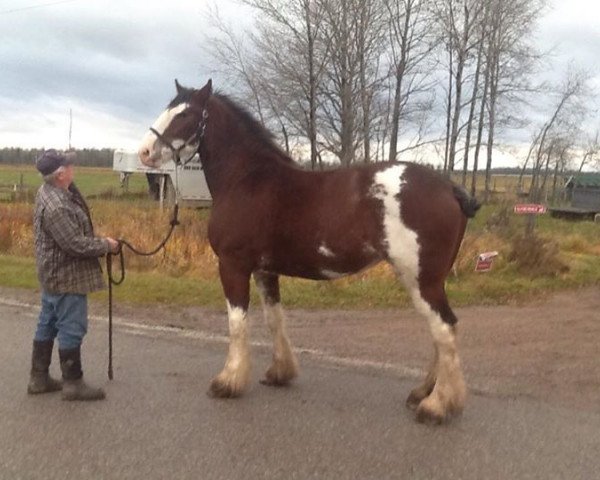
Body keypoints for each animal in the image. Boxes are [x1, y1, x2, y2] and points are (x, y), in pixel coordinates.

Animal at [138, 79, 480, 424]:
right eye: (169, 108)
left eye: (185, 114)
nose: (145, 152)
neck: (247, 180)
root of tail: (450, 188)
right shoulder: (264, 270)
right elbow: (274, 319)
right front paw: (279, 372)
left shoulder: (233, 266)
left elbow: (237, 323)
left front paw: (228, 381)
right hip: (426, 280)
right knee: (440, 331)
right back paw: (423, 393)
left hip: (422, 279)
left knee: (444, 328)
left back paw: (437, 405)